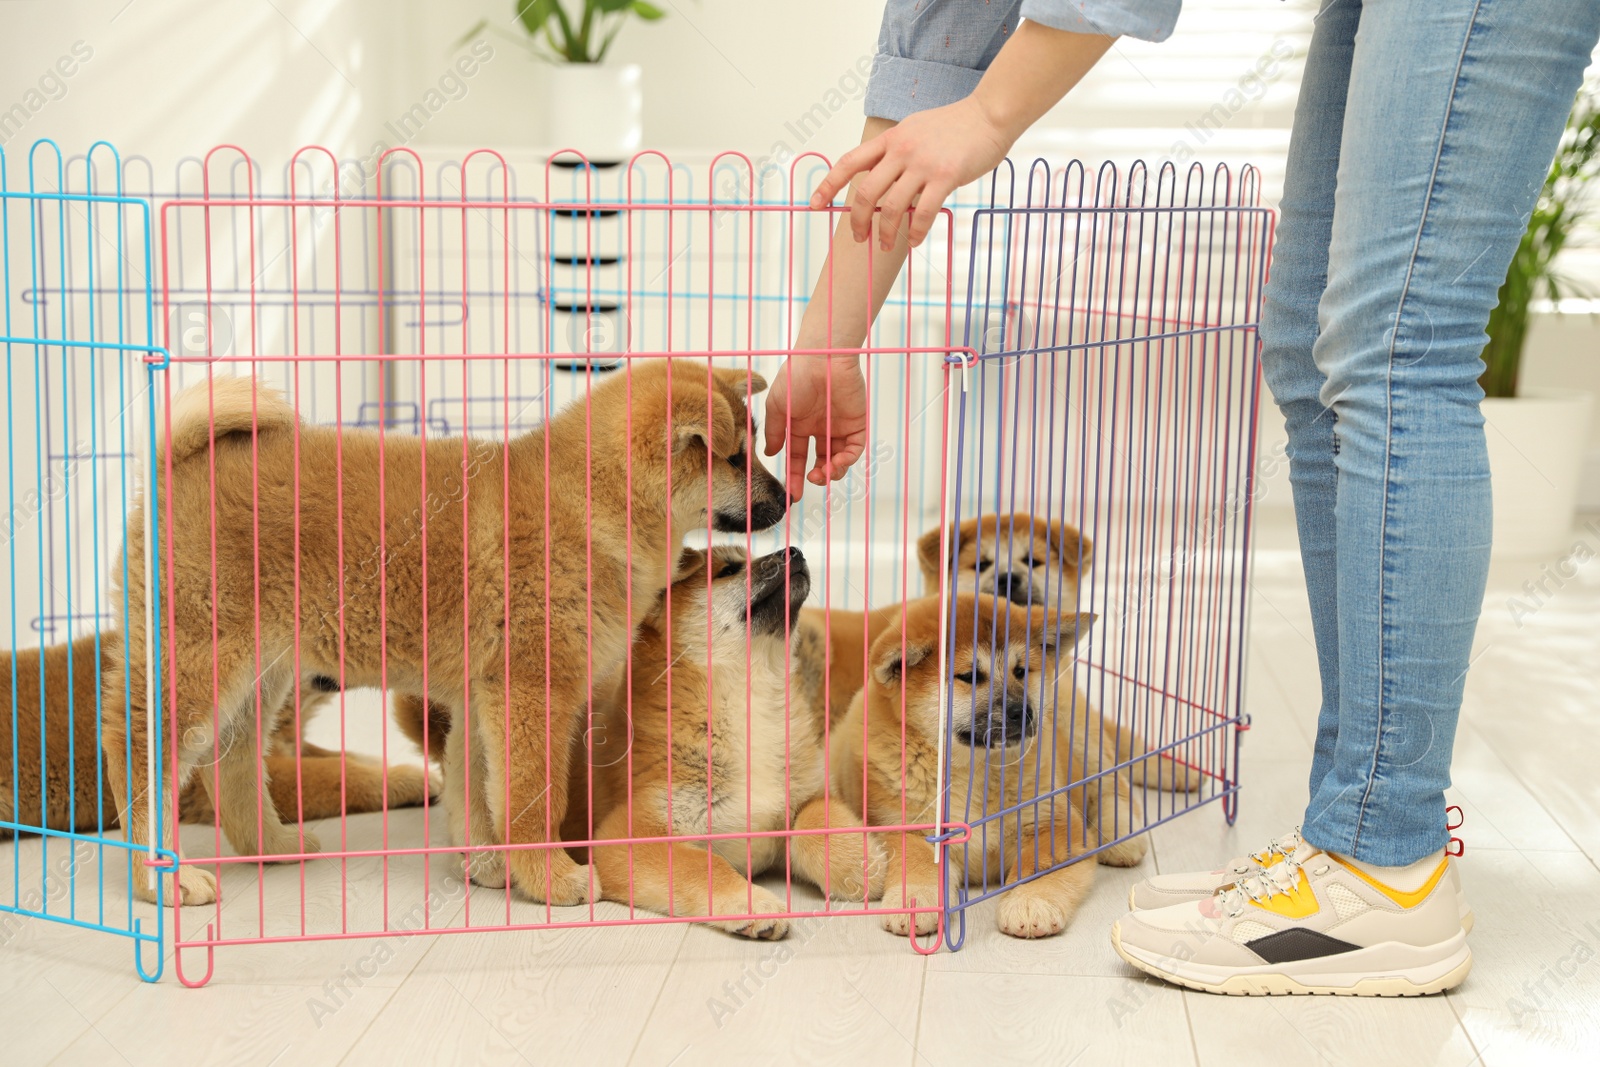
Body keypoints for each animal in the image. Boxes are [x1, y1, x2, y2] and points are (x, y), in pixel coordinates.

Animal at [103, 363, 784, 908]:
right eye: (736, 458)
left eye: (753, 452)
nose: (785, 497)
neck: (593, 504)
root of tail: (171, 468)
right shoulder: (531, 690)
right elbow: (532, 800)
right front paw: (551, 879)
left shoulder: (483, 695)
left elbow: (475, 791)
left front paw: (486, 865)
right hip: (199, 661)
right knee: (139, 753)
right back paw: (161, 878)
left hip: (261, 670)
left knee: (233, 759)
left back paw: (270, 845)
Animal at [838, 598, 1139, 940]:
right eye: (969, 676)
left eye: (1021, 671)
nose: (1023, 712)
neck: (976, 769)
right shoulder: (908, 828)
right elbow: (919, 864)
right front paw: (916, 900)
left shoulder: (1053, 823)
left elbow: (1039, 868)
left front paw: (1030, 902)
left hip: (1080, 737)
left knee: (1113, 783)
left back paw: (1124, 837)